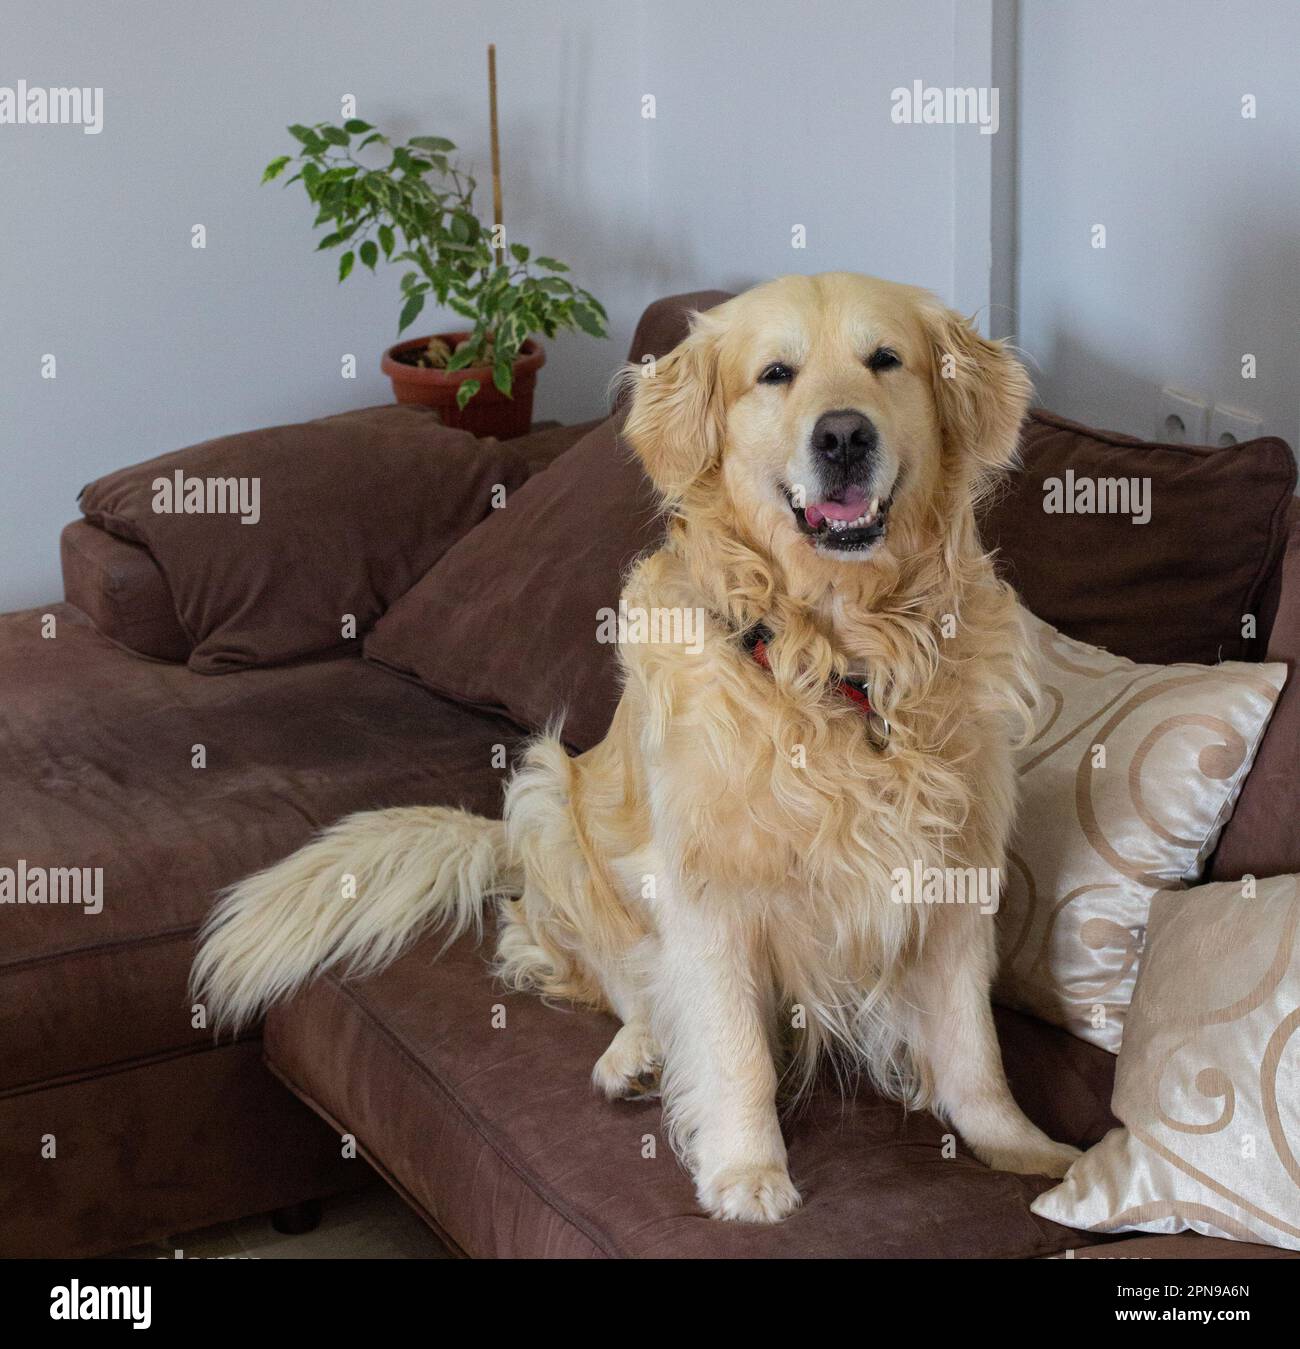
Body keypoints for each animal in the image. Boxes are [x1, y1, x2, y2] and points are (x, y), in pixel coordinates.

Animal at [192, 273, 1084, 1224]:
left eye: (886, 360)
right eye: (776, 373)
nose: (843, 435)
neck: (835, 659)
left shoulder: (956, 872)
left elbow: (972, 1042)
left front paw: (1022, 1150)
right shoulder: (706, 888)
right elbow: (734, 1045)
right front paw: (747, 1170)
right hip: (549, 802)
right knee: (628, 986)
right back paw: (637, 1054)